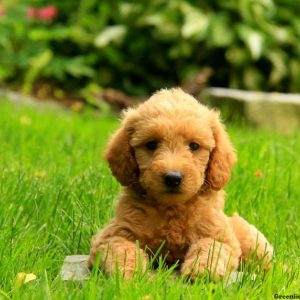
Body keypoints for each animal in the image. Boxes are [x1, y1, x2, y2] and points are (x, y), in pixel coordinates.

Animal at [88, 87, 274, 278]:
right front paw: (127, 270)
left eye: (194, 146)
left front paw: (203, 269)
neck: (172, 209)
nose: (173, 178)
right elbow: (121, 247)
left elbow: (210, 246)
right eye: (151, 144)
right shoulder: (112, 234)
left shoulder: (222, 238)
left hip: (256, 246)